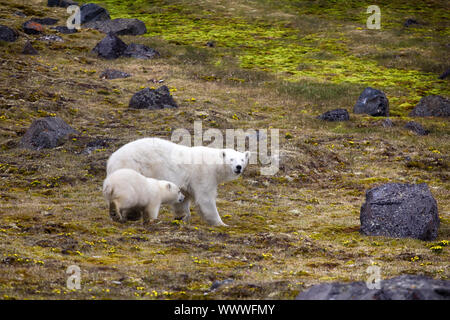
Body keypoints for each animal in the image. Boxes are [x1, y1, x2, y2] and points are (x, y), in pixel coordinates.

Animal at [107, 139, 251, 226]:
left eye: (242, 159)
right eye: (231, 159)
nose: (238, 167)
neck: (213, 164)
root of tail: (111, 160)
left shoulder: (187, 183)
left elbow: (183, 199)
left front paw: (182, 217)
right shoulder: (202, 175)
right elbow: (205, 199)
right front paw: (221, 223)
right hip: (134, 166)